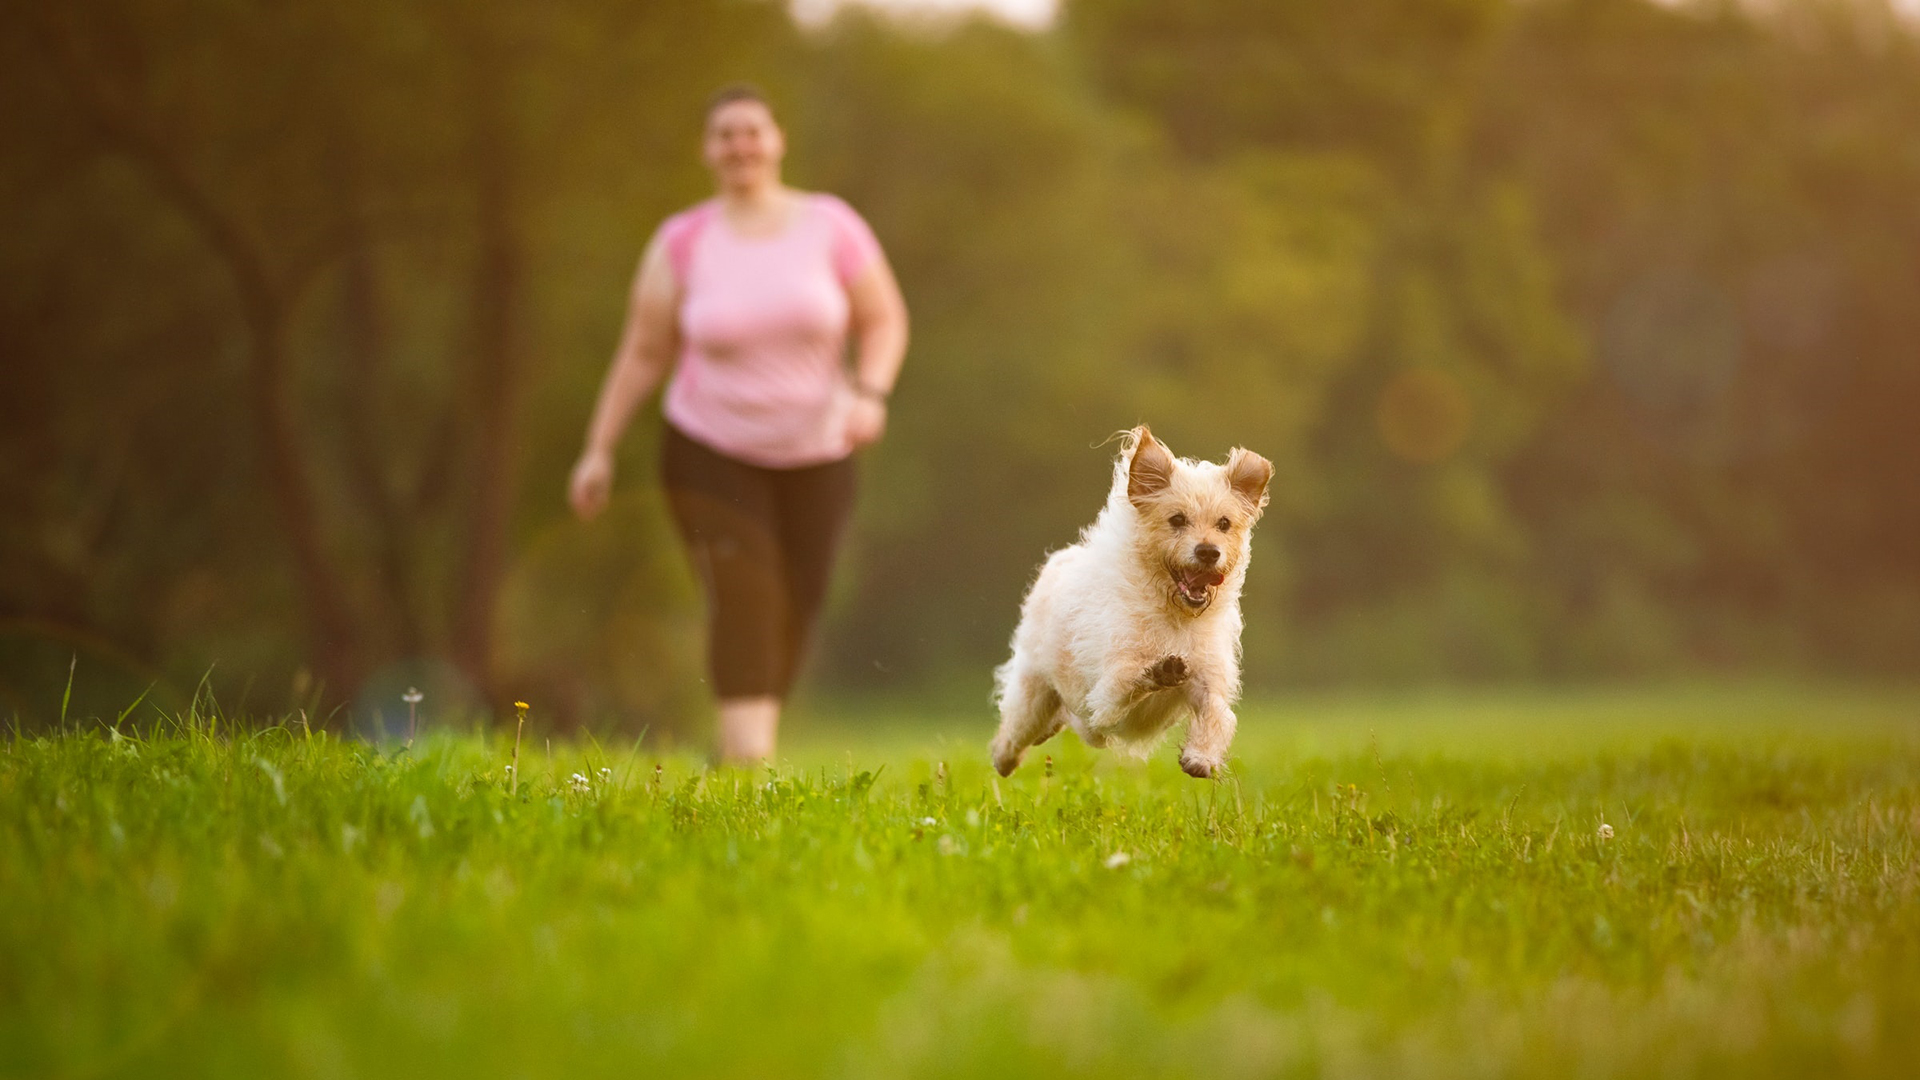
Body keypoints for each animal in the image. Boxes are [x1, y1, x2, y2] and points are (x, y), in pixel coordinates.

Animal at [990, 424, 1274, 776]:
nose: (1209, 551)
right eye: (1177, 520)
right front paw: (1158, 671)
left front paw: (1201, 757)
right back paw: (1003, 758)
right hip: (1035, 696)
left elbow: (1218, 715)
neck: (1175, 615)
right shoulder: (1104, 696)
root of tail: (1060, 560)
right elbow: (1128, 681)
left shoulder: (1208, 681)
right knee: (1014, 732)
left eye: (1224, 523)